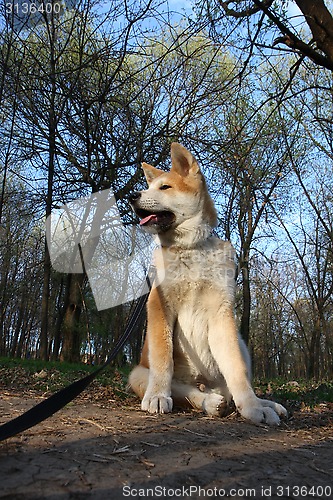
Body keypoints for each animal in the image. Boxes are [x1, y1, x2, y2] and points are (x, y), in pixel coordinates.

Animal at [128, 143, 286, 424]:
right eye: (149, 187)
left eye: (165, 187)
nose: (132, 195)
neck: (190, 249)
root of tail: (203, 382)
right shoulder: (159, 305)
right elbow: (163, 359)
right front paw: (157, 395)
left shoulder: (222, 313)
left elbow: (236, 370)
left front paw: (253, 407)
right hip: (137, 373)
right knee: (186, 392)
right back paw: (209, 403)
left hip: (241, 345)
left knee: (231, 386)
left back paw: (263, 403)